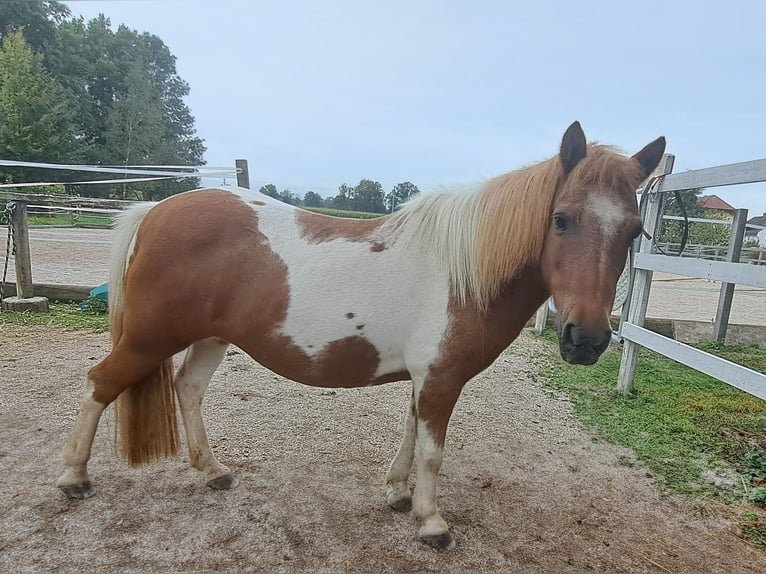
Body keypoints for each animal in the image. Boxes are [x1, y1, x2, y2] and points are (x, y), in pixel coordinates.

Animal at [56, 122, 665, 550]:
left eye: (636, 231)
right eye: (561, 219)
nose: (586, 339)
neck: (461, 270)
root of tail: (156, 209)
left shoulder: (425, 378)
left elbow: (410, 434)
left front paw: (398, 495)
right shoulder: (442, 378)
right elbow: (433, 451)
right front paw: (432, 523)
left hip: (208, 338)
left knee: (187, 390)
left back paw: (213, 471)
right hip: (147, 340)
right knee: (97, 385)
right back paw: (72, 477)